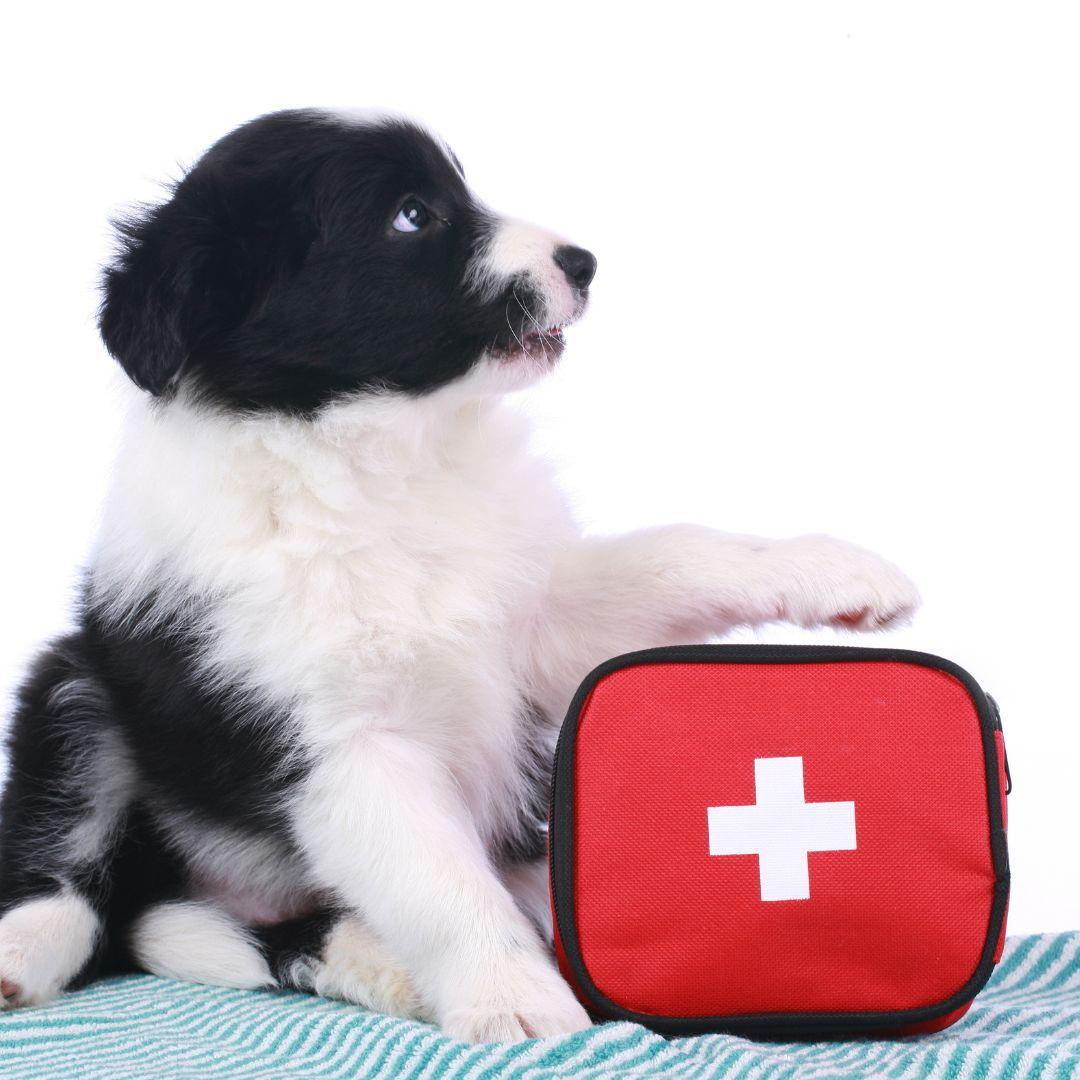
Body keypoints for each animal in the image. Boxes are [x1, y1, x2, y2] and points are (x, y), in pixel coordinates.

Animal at [0, 107, 920, 1036]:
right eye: (413, 215)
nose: (583, 262)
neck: (384, 455)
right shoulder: (337, 743)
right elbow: (440, 884)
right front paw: (515, 999)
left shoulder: (540, 615)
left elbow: (677, 554)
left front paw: (835, 573)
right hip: (74, 683)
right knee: (75, 866)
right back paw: (24, 952)